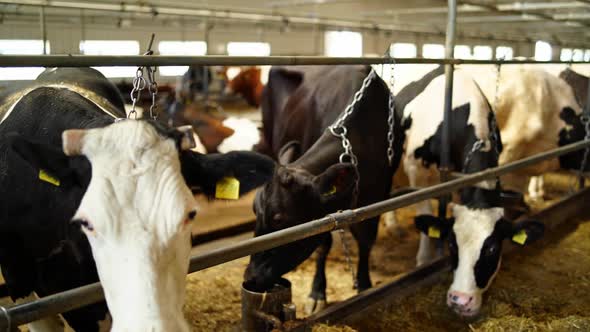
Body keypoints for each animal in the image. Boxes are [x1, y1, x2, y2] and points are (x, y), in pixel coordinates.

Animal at [402, 68, 544, 318]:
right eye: (452, 244)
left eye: (492, 248)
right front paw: (423, 260)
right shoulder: (415, 169)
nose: (461, 300)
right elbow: (423, 211)